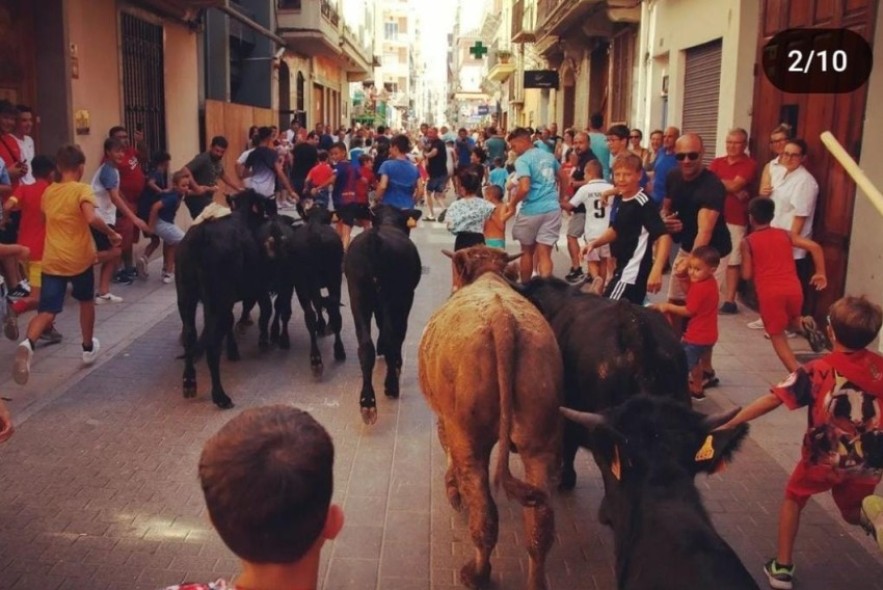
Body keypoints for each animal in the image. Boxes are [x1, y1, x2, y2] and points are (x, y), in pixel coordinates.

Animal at [418, 246, 564, 590]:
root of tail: (503, 319)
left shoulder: (445, 421)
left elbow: (447, 451)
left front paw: (453, 489)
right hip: (540, 443)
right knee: (539, 524)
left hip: (469, 440)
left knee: (484, 514)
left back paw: (477, 573)